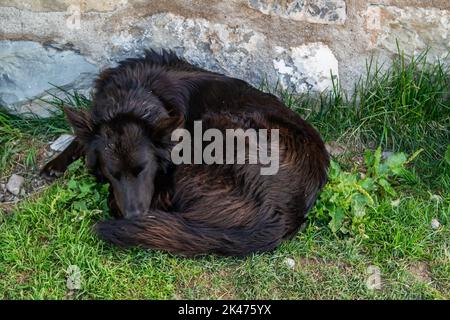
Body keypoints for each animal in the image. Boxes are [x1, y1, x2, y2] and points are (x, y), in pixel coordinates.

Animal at [41, 50, 330, 258]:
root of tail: (280, 215)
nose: (134, 217)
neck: (135, 95)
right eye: (113, 174)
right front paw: (57, 162)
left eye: (143, 169)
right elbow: (81, 137)